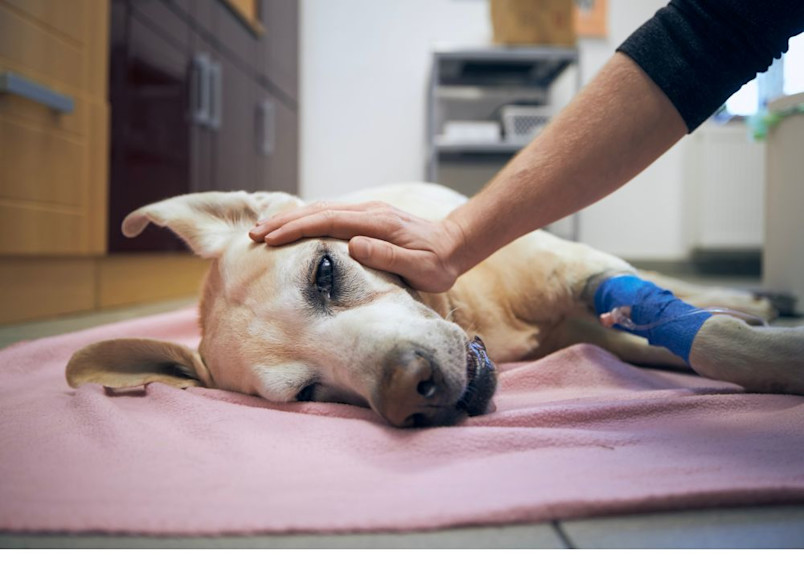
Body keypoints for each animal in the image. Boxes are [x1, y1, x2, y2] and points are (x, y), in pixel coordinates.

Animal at [67, 185, 804, 428]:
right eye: (307, 393)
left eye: (325, 272)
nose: (408, 389)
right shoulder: (604, 328)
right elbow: (698, 341)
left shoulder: (579, 271)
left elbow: (715, 340)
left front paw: (776, 346)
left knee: (674, 287)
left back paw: (756, 295)